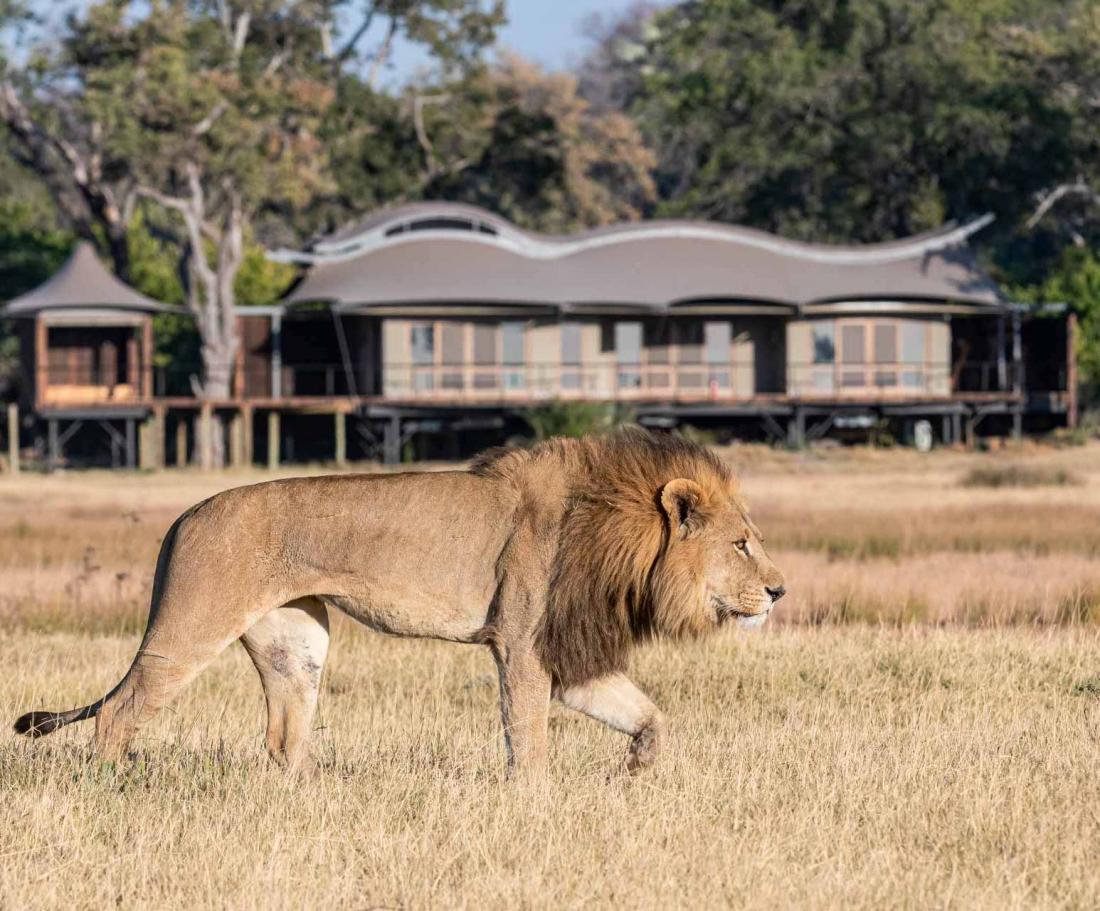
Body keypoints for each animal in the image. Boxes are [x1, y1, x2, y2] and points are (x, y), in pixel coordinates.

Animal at [12, 431, 787, 770]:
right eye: (743, 544)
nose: (780, 591)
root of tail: (181, 517)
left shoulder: (569, 656)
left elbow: (649, 716)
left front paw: (638, 773)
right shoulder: (523, 644)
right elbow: (528, 737)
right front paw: (533, 803)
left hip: (298, 641)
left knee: (284, 736)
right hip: (192, 626)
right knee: (119, 712)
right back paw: (113, 786)